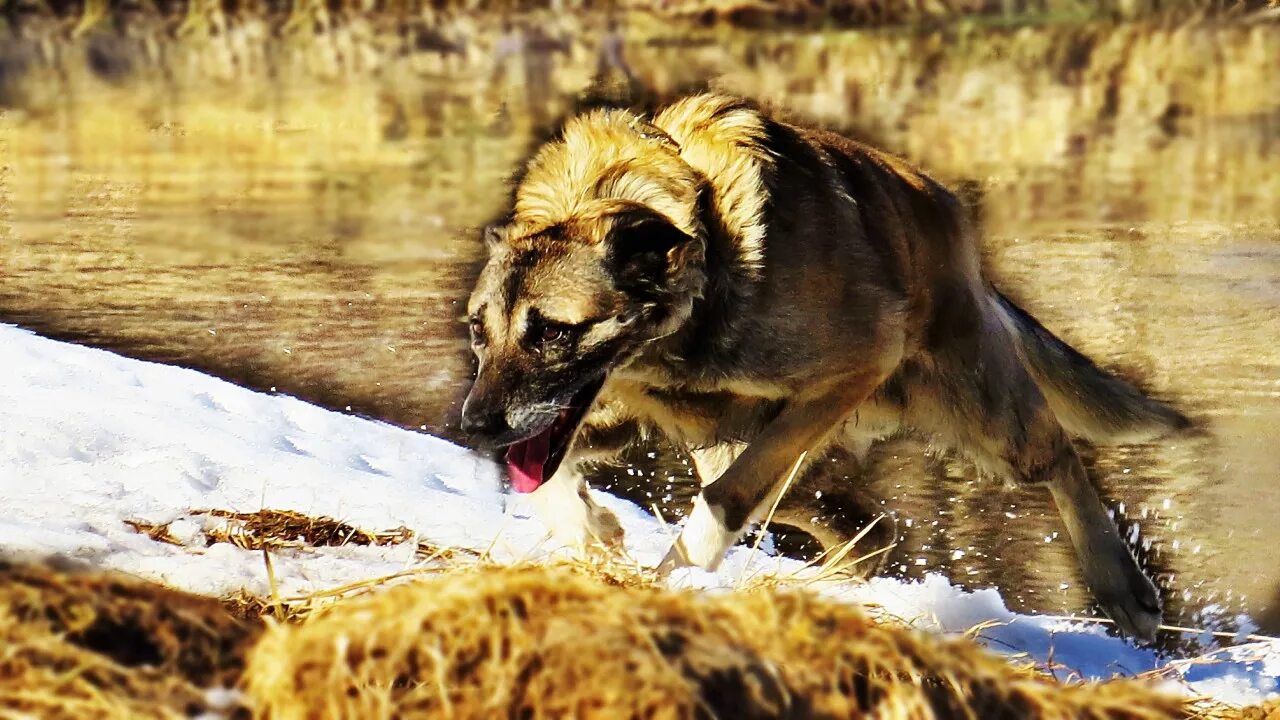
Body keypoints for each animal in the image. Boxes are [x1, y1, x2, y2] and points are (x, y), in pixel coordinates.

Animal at [460, 92, 1187, 635]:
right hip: (753, 450)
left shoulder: (846, 374)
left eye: (554, 332)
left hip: (980, 409)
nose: (474, 423)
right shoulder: (609, 413)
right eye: (477, 331)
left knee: (1058, 455)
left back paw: (1124, 589)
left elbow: (724, 501)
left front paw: (673, 579)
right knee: (871, 533)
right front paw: (589, 531)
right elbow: (543, 477)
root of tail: (946, 212)